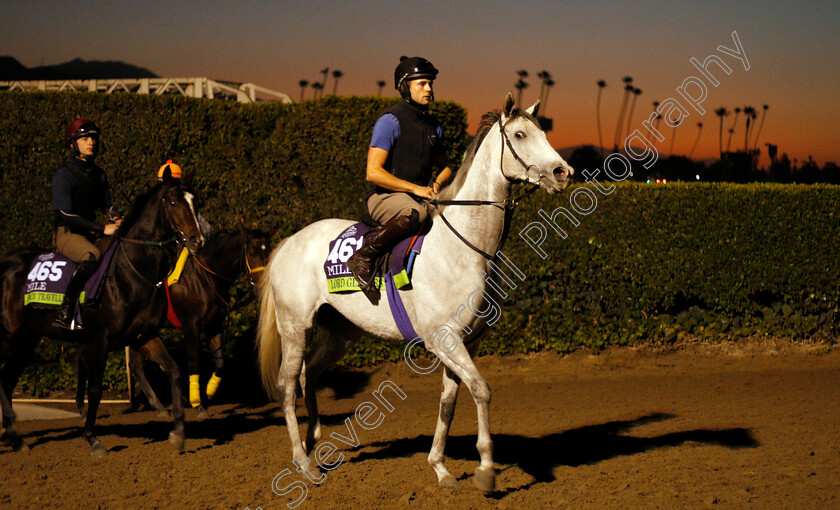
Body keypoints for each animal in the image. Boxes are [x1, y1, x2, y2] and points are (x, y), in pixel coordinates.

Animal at [0, 173, 203, 456]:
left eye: (196, 202)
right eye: (173, 202)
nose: (197, 240)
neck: (130, 272)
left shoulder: (144, 335)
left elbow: (173, 370)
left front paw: (179, 432)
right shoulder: (100, 340)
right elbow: (95, 390)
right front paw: (93, 439)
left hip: (25, 340)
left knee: (6, 381)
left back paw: (15, 439)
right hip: (8, 337)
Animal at [256, 93, 572, 492]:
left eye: (543, 131)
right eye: (519, 134)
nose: (563, 172)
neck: (464, 248)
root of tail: (289, 242)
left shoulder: (466, 343)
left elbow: (450, 401)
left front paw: (440, 467)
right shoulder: (444, 339)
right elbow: (481, 390)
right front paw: (485, 469)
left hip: (340, 334)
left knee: (309, 375)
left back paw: (314, 441)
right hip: (295, 327)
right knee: (287, 385)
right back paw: (302, 462)